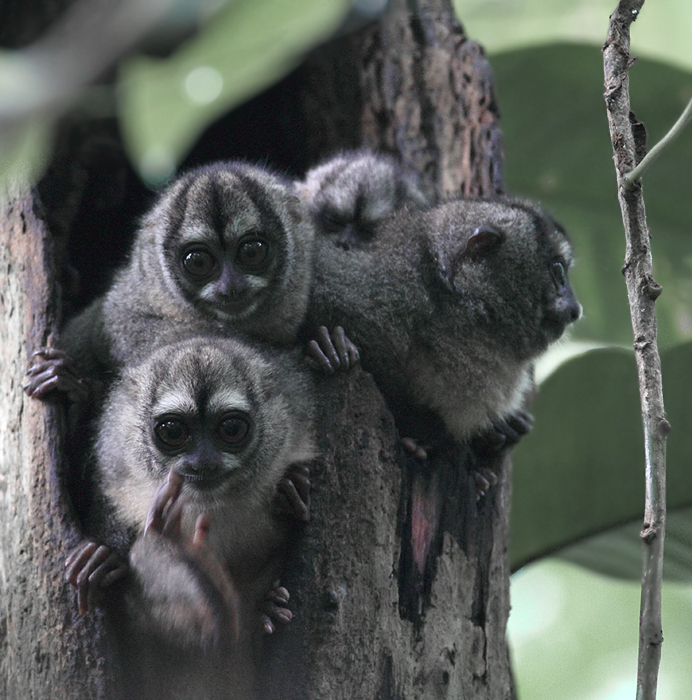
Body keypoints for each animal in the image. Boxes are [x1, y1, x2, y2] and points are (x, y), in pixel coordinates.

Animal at [65, 336, 316, 696]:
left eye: (231, 428)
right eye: (172, 431)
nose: (203, 462)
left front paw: (292, 488)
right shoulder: (117, 468)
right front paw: (100, 558)